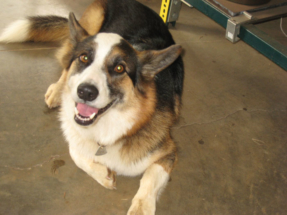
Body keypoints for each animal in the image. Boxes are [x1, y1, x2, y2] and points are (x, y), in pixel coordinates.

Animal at [0, 0, 184, 214]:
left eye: (120, 68)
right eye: (84, 58)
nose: (86, 92)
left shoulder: (168, 152)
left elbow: (150, 177)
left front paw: (141, 207)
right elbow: (75, 153)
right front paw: (103, 174)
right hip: (93, 20)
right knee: (65, 64)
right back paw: (56, 91)